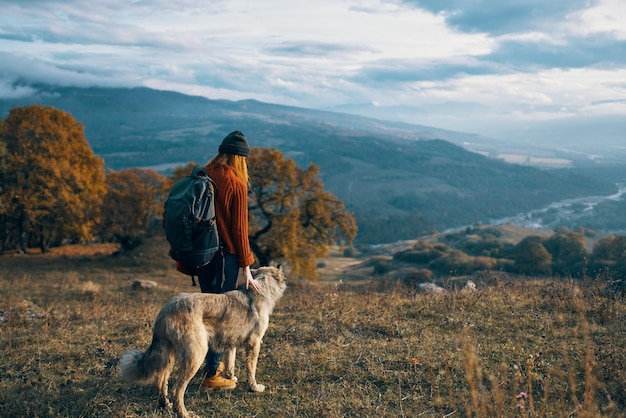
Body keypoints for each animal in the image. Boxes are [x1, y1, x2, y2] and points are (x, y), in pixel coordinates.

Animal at [118, 266, 286, 418]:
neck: (261, 288)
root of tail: (167, 309)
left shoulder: (230, 344)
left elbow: (230, 364)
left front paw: (231, 379)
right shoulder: (254, 344)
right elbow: (251, 370)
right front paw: (254, 387)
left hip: (169, 355)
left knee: (161, 382)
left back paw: (165, 405)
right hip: (196, 355)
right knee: (176, 390)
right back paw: (184, 414)